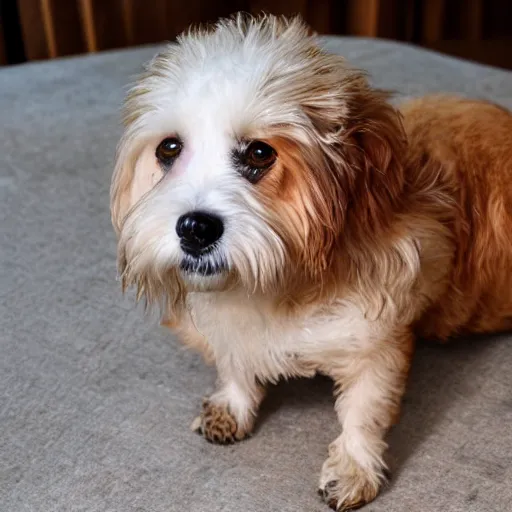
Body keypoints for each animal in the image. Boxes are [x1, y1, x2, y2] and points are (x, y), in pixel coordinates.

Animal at [110, 13, 512, 512]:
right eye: (169, 149)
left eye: (260, 152)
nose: (195, 229)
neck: (280, 285)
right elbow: (235, 364)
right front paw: (234, 403)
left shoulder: (378, 340)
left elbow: (364, 411)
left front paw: (353, 467)